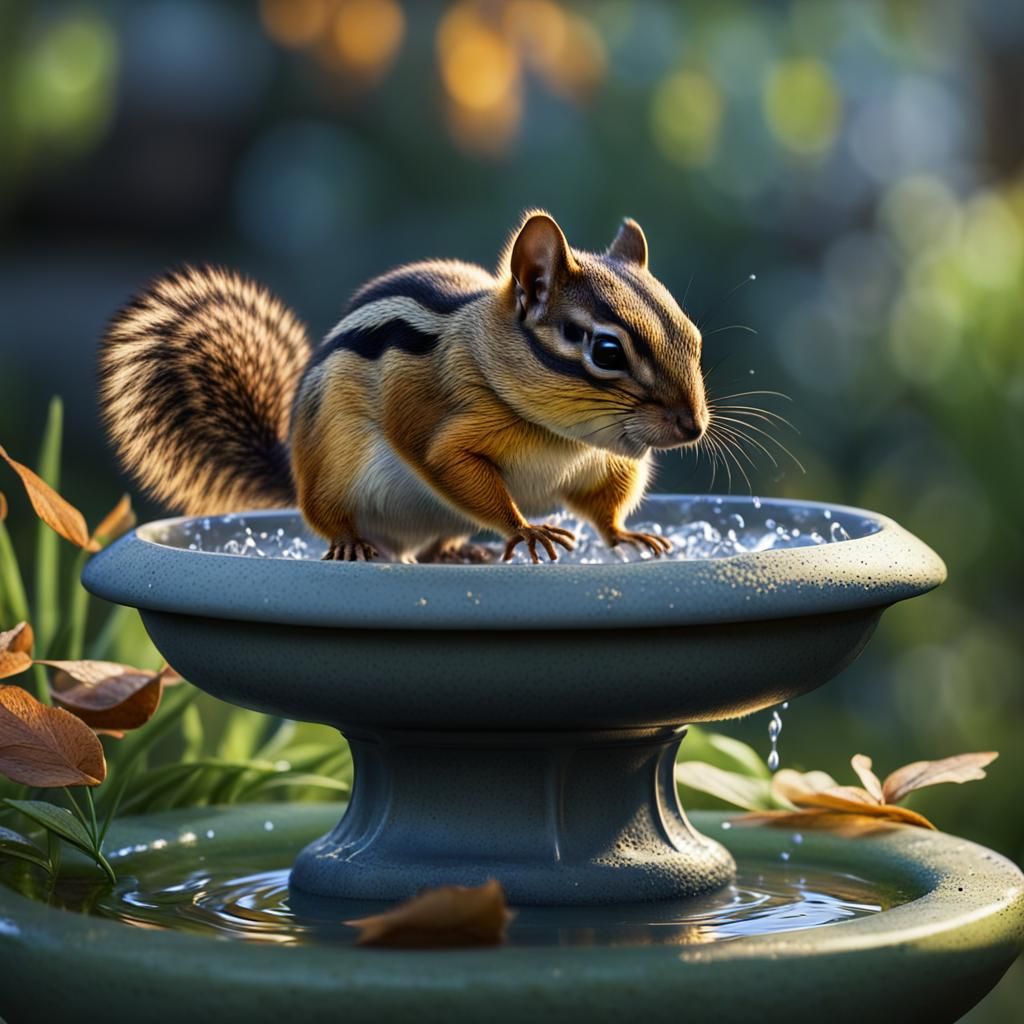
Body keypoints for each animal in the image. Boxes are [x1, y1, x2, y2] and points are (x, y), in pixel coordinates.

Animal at [98, 211, 708, 563]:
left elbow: (604, 506)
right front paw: (526, 529)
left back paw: (460, 552)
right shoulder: (435, 422)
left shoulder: (604, 464)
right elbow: (451, 466)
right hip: (331, 466)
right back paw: (352, 542)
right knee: (324, 515)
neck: (563, 439)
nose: (693, 425)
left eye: (693, 336)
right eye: (607, 352)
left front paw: (626, 536)